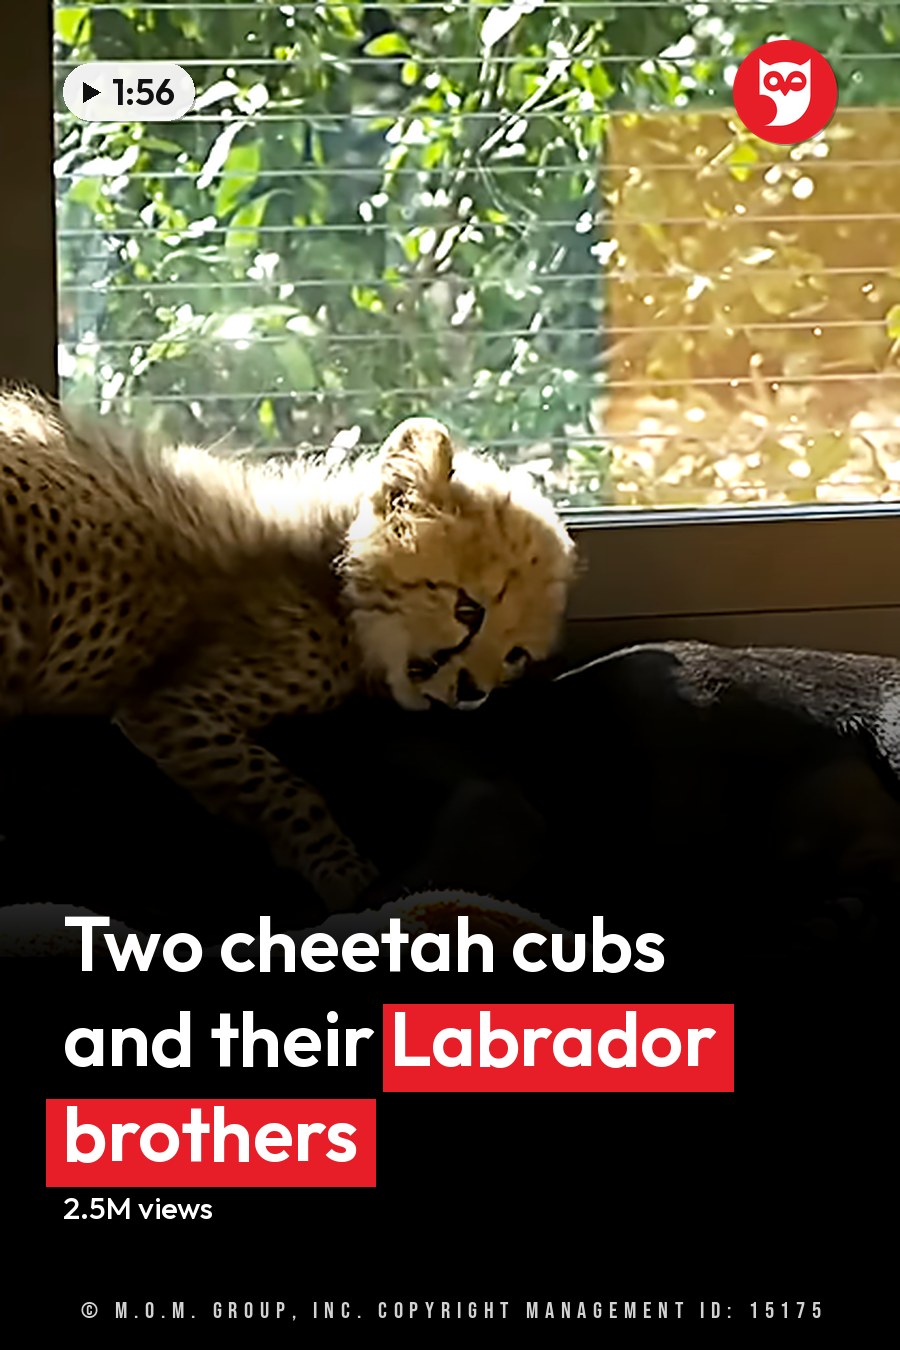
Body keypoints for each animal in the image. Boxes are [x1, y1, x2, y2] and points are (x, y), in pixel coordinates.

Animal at [0, 387, 575, 911]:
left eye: (516, 655)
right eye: (468, 610)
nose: (474, 692)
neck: (335, 577)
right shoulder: (171, 707)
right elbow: (282, 789)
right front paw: (347, 876)